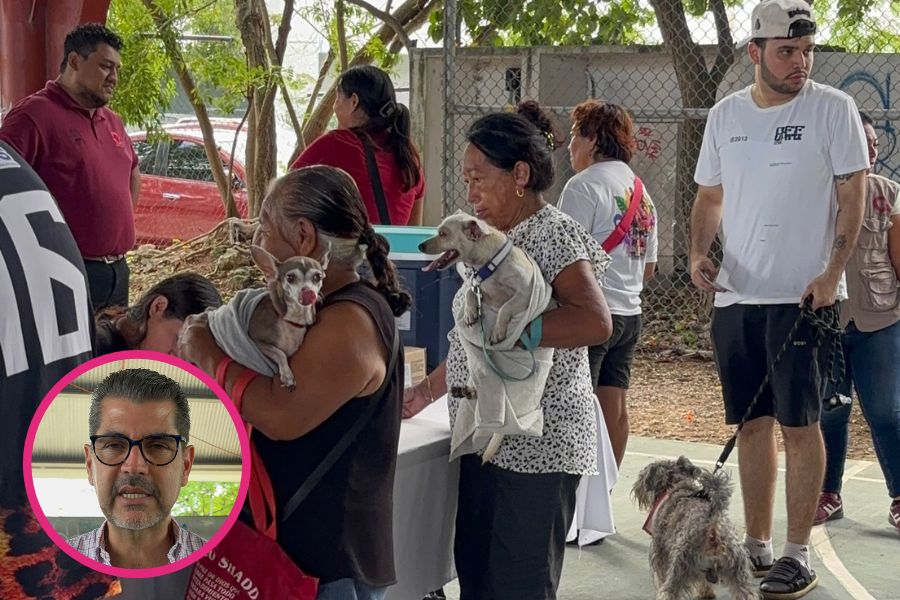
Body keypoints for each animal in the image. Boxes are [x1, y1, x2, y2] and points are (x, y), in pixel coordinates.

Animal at [247, 245, 327, 389]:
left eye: (318, 276)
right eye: (290, 277)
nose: (309, 293)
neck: (291, 321)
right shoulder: (258, 341)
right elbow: (280, 353)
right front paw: (287, 375)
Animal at [632, 456, 757, 600]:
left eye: (642, 476)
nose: (636, 488)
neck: (674, 485)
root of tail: (713, 529)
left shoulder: (661, 553)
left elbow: (661, 576)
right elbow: (704, 582)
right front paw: (706, 593)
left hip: (680, 566)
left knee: (669, 591)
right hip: (738, 571)